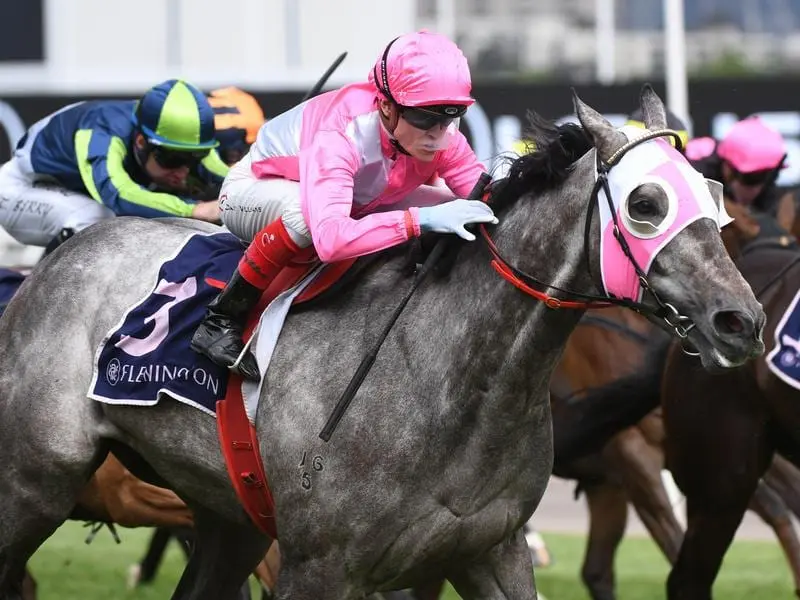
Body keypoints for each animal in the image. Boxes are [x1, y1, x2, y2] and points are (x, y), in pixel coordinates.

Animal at [0, 86, 764, 596]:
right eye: (645, 204)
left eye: (712, 192)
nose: (741, 321)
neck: (451, 383)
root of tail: (62, 256)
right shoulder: (319, 567)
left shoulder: (490, 550)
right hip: (34, 481)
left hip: (229, 517)